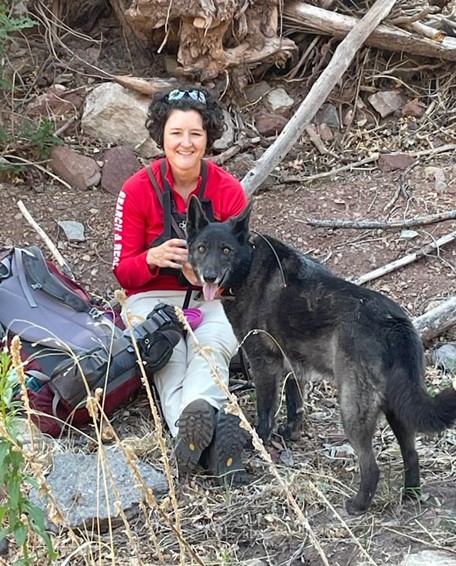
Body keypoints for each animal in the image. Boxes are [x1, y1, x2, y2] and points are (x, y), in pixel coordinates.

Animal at [185, 197, 456, 516]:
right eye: (202, 248)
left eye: (225, 250)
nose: (209, 276)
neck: (248, 265)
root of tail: (393, 322)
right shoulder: (292, 365)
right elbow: (295, 404)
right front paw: (291, 433)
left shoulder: (264, 363)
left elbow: (266, 411)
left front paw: (259, 442)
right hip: (396, 406)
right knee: (412, 454)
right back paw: (410, 494)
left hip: (352, 409)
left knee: (371, 466)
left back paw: (358, 505)